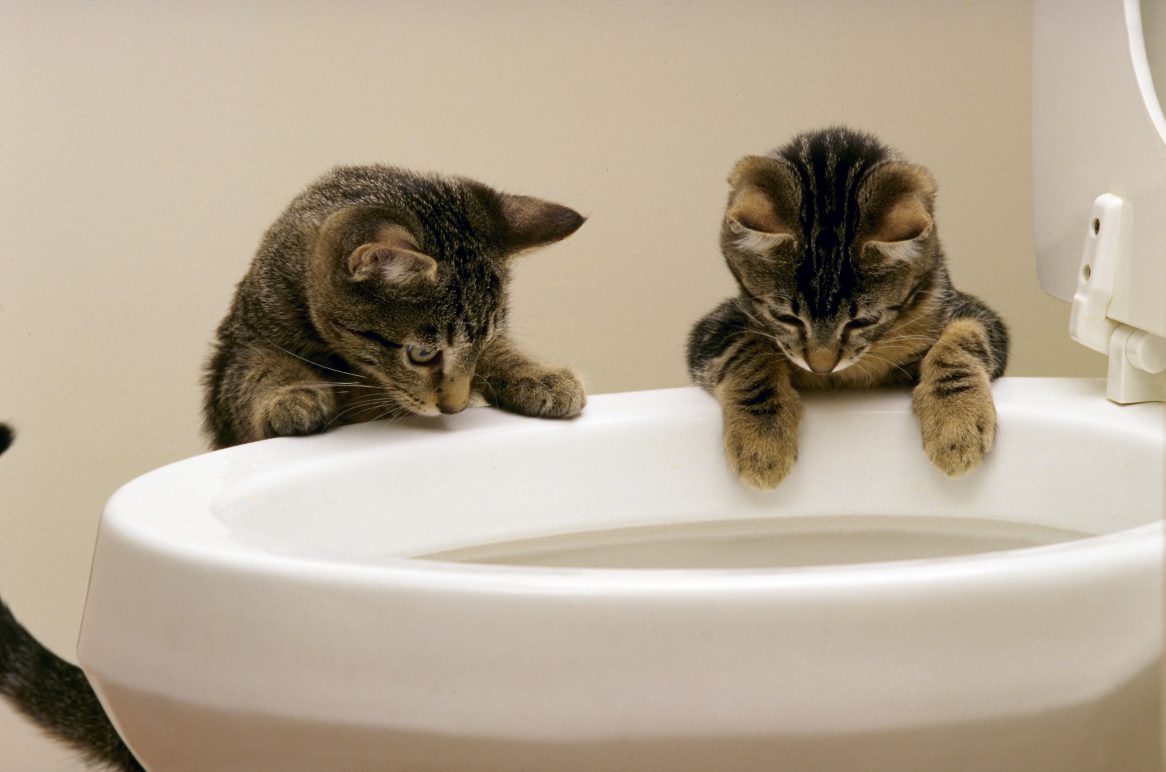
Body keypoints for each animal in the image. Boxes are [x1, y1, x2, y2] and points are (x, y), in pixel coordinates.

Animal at [685, 127, 1007, 489]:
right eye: (786, 318)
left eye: (862, 322)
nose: (821, 367)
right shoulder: (713, 329)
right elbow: (746, 349)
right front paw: (761, 439)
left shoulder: (975, 314)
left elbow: (962, 339)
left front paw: (956, 420)